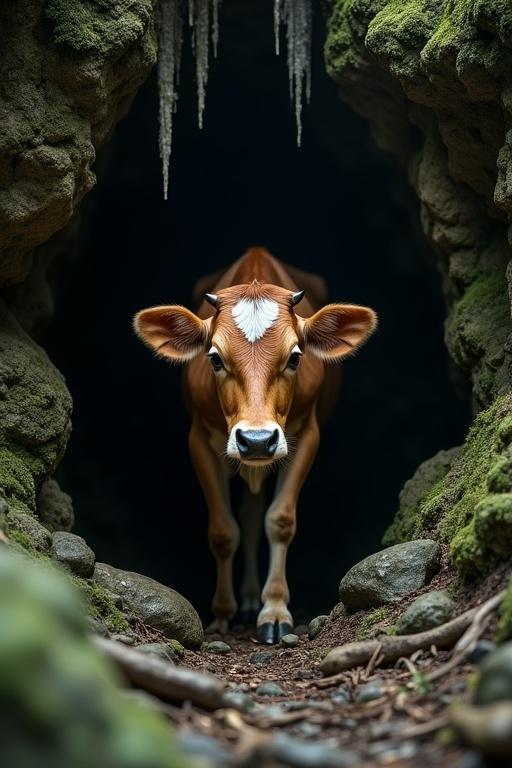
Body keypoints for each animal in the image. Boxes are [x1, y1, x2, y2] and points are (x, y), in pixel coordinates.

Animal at [135, 246, 376, 640]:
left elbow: (279, 520)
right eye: (215, 358)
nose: (257, 439)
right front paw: (222, 613)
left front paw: (274, 610)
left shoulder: (306, 435)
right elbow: (222, 531)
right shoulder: (199, 439)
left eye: (295, 357)